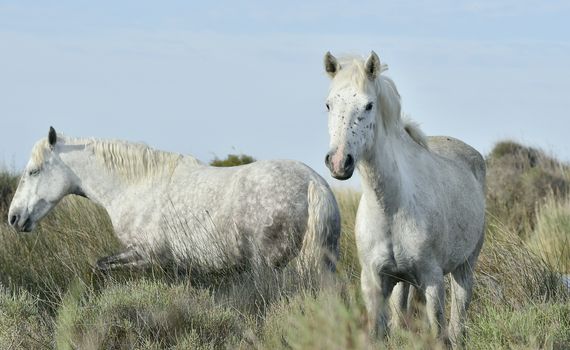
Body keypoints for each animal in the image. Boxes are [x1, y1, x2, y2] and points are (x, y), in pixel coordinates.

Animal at [8, 128, 340, 274]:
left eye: (33, 171)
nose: (13, 217)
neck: (135, 185)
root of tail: (314, 182)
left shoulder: (148, 254)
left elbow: (103, 266)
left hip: (266, 266)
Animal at [322, 50, 482, 346]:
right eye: (328, 104)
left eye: (369, 105)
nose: (339, 162)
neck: (391, 206)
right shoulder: (373, 282)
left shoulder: (433, 281)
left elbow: (439, 333)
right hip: (402, 281)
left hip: (465, 267)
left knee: (458, 319)